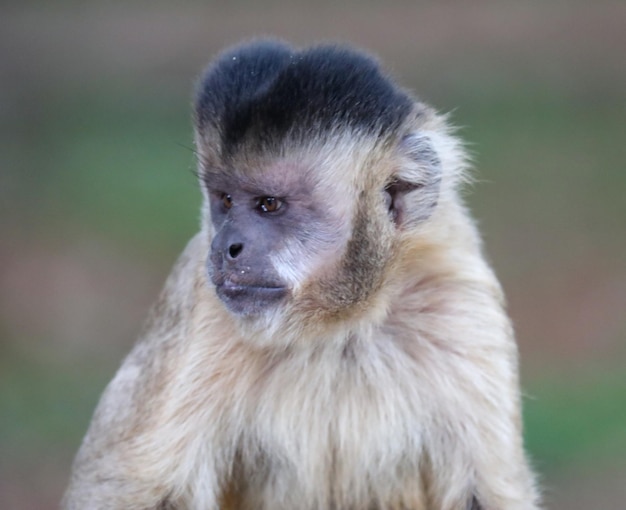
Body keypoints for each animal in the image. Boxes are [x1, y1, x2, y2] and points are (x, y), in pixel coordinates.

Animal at [64, 40, 540, 510]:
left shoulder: (459, 302)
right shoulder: (199, 300)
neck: (341, 325)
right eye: (225, 201)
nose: (225, 247)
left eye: (269, 205)